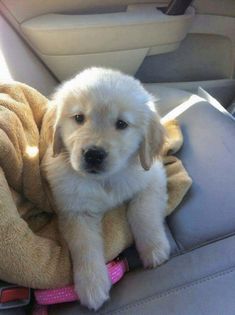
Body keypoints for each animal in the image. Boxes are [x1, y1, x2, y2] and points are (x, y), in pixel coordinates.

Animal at [42, 67, 170, 312]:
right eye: (79, 118)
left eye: (121, 124)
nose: (93, 155)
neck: (105, 182)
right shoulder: (75, 211)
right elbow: (85, 245)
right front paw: (91, 284)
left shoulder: (152, 178)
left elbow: (142, 212)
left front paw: (154, 248)